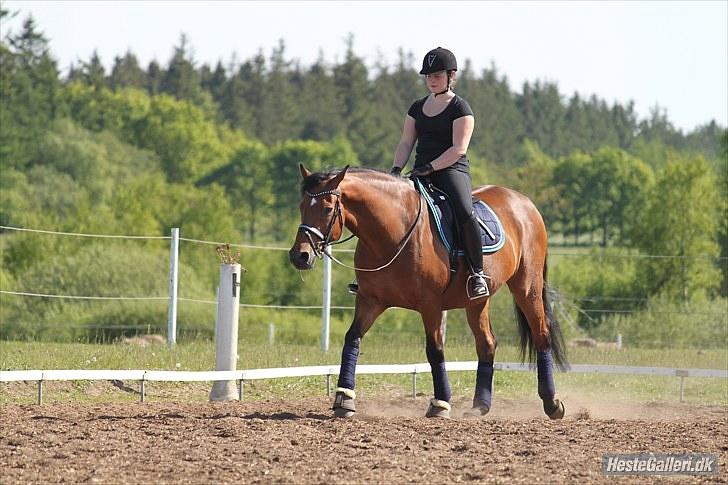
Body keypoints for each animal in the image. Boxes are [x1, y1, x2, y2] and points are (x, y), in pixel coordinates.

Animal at [290, 164, 568, 418]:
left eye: (327, 209)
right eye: (301, 207)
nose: (299, 256)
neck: (393, 233)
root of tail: (525, 202)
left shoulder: (430, 304)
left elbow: (435, 350)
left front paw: (440, 404)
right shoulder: (371, 300)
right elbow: (352, 339)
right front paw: (344, 399)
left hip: (527, 287)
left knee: (541, 334)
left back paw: (552, 403)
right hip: (477, 300)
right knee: (487, 343)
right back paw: (480, 406)